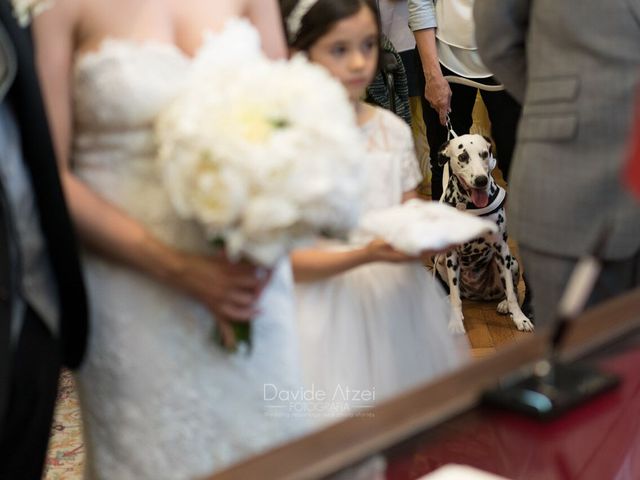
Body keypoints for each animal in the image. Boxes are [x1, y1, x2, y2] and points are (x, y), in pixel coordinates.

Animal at [436, 133, 536, 332]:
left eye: (484, 154)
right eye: (463, 157)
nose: (481, 180)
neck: (470, 206)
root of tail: (477, 293)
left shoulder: (501, 250)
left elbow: (511, 293)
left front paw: (519, 318)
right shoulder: (451, 255)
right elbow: (455, 296)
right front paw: (455, 321)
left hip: (512, 262)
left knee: (511, 289)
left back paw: (504, 304)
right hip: (441, 259)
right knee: (456, 293)